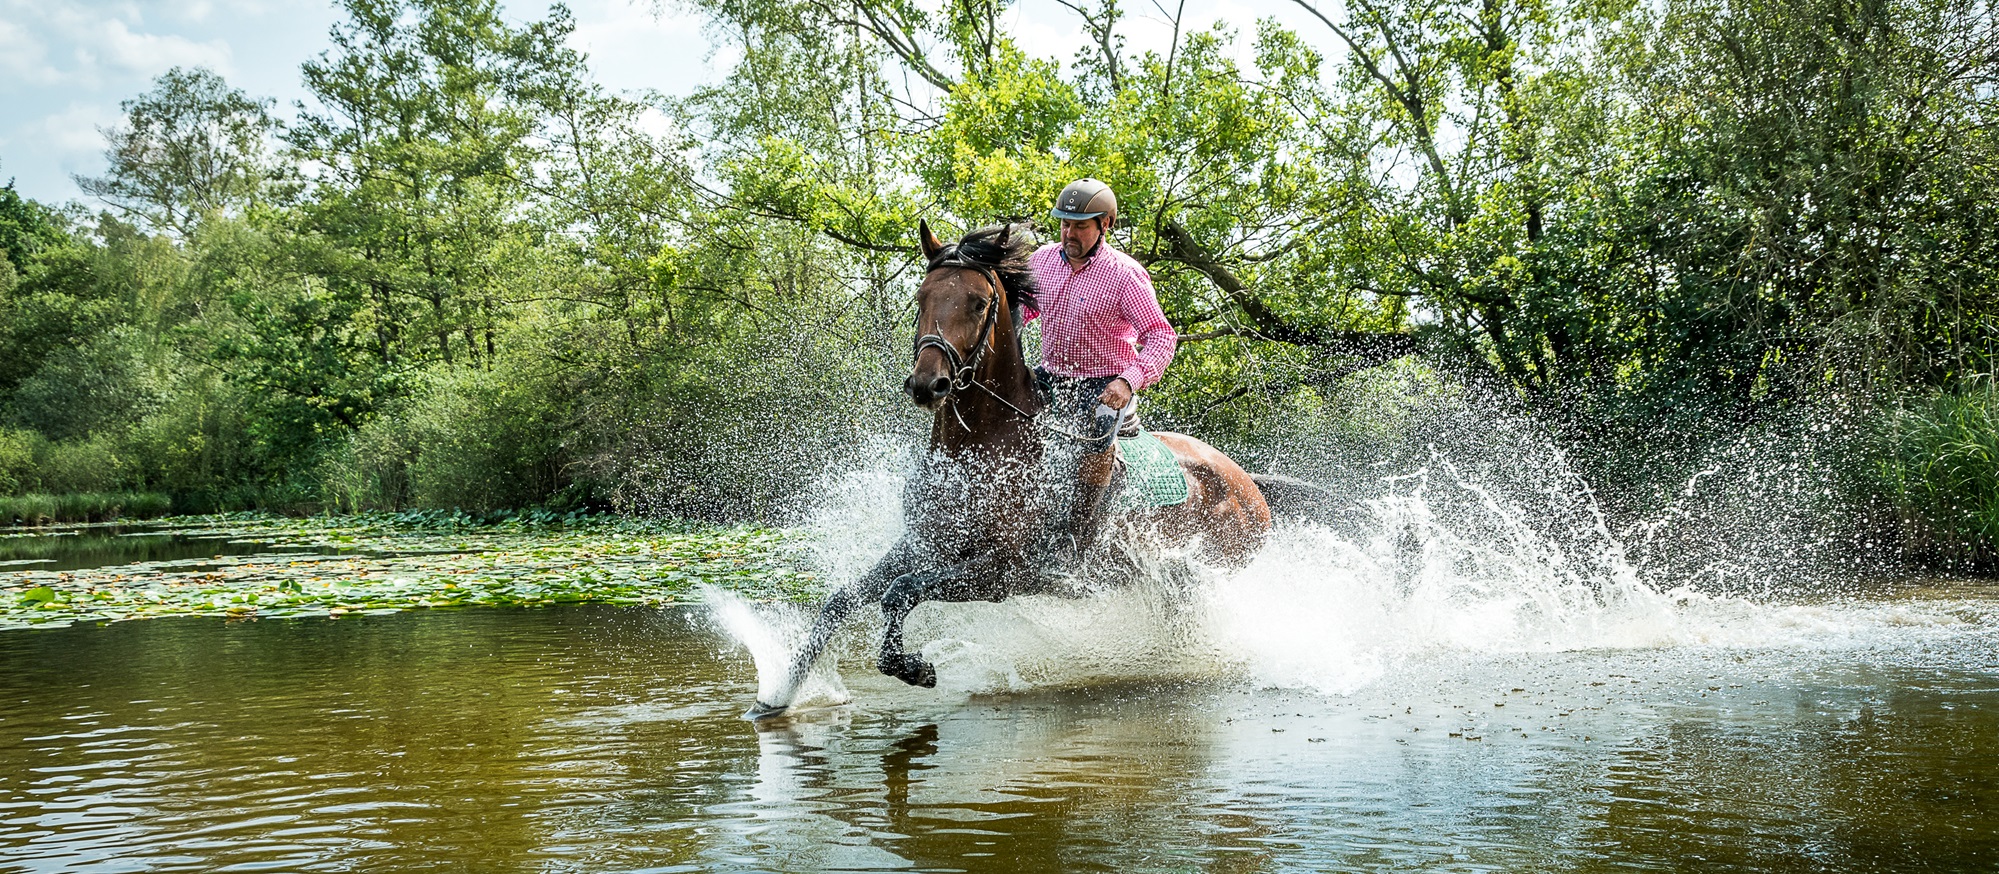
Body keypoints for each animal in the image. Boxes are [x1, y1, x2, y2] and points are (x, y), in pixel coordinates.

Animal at [745, 221, 1274, 719]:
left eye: (979, 303)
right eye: (921, 297)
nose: (928, 384)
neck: (979, 453)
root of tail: (1246, 485)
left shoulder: (1004, 572)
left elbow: (902, 591)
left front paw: (913, 668)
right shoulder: (922, 545)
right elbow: (842, 600)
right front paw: (777, 696)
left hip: (1202, 577)